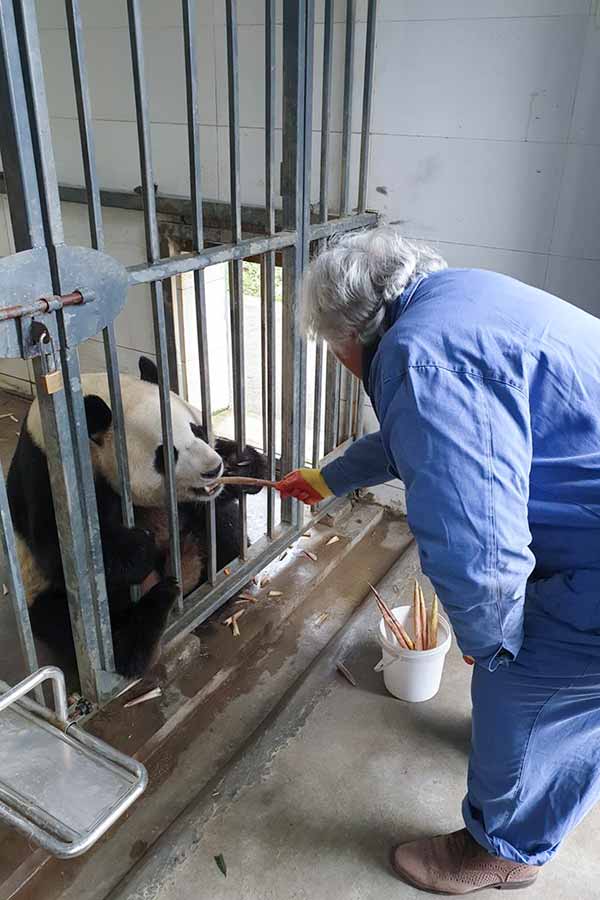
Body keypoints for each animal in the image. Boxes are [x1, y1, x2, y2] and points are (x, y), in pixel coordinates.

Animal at [7, 356, 268, 680]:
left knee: (222, 527)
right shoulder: (48, 474)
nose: (213, 469)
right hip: (44, 595)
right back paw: (145, 627)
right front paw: (138, 548)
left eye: (196, 429)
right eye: (166, 454)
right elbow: (62, 551)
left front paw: (244, 463)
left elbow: (216, 499)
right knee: (81, 622)